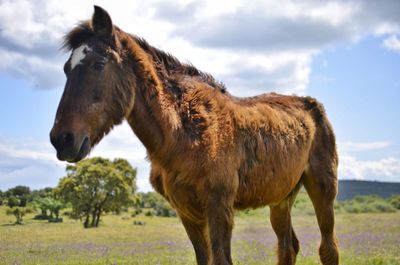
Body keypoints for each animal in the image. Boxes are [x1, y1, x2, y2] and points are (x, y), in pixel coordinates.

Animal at [48, 6, 340, 264]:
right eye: (65, 69)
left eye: (98, 64)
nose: (62, 139)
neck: (186, 134)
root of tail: (312, 105)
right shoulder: (188, 213)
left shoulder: (219, 207)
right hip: (280, 199)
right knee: (288, 248)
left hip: (323, 190)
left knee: (328, 249)